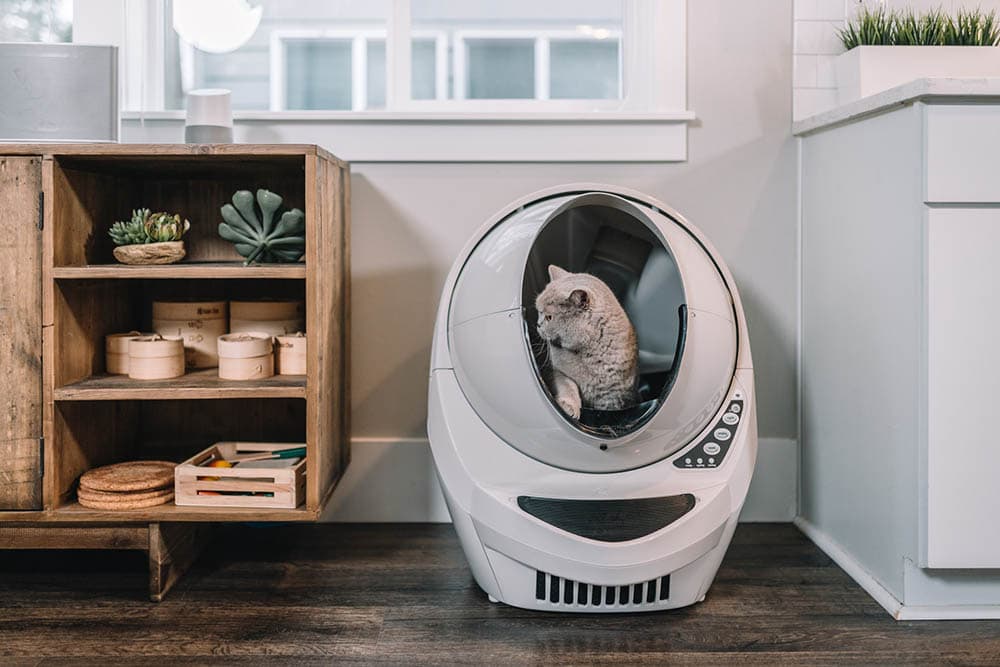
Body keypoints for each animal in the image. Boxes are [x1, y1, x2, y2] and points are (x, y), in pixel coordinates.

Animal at [536, 264, 636, 418]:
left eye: (549, 317)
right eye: (539, 312)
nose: (538, 324)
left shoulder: (613, 395)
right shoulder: (554, 371)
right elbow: (568, 384)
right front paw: (569, 407)